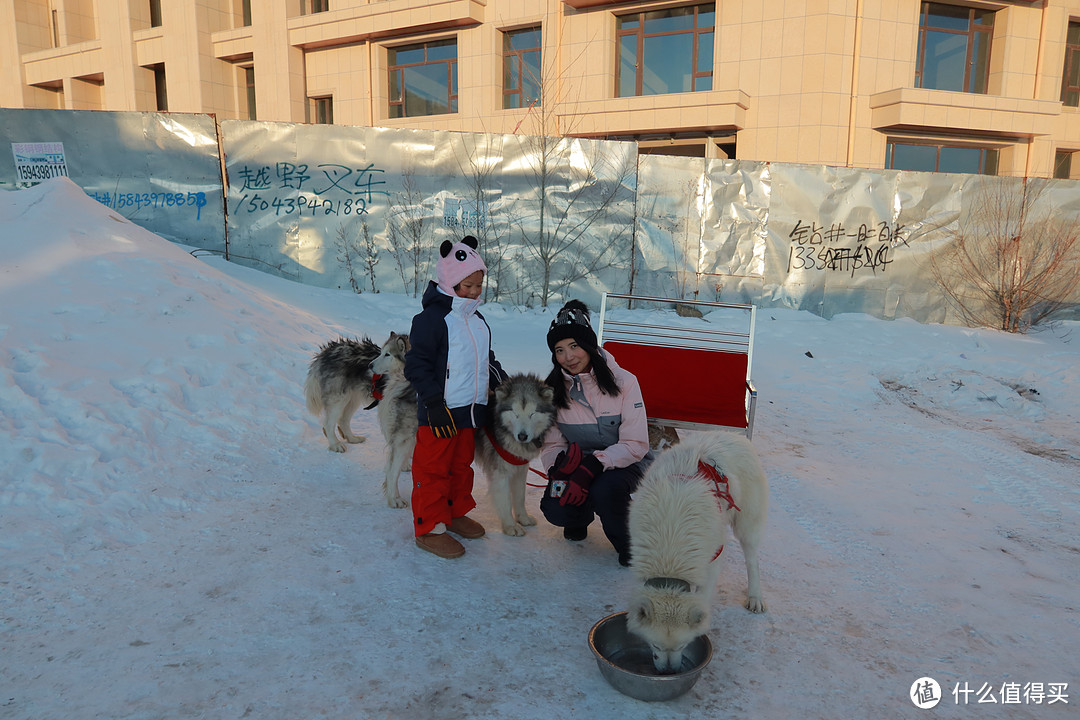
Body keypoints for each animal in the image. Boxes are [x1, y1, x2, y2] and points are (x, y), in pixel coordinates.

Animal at [475, 377, 557, 535]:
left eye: (532, 413)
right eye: (514, 412)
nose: (522, 436)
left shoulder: (521, 468)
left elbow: (520, 497)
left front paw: (523, 518)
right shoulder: (500, 473)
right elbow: (506, 501)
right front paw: (510, 525)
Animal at [626, 431, 768, 673]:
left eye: (683, 645)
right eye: (655, 645)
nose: (669, 672)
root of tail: (734, 435)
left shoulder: (712, 559)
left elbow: (704, 592)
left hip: (746, 524)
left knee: (752, 560)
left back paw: (755, 597)